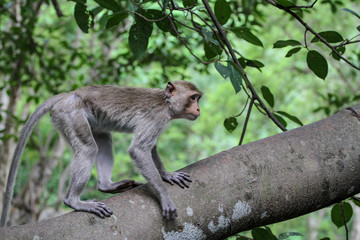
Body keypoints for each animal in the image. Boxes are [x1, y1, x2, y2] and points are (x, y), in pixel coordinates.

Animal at [0, 81, 201, 227]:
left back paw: (106, 186)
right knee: (88, 149)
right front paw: (164, 196)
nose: (198, 109)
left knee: (104, 139)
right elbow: (139, 149)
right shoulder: (157, 117)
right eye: (193, 98)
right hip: (70, 115)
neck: (165, 103)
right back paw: (74, 201)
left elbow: (150, 148)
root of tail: (70, 93)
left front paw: (167, 174)